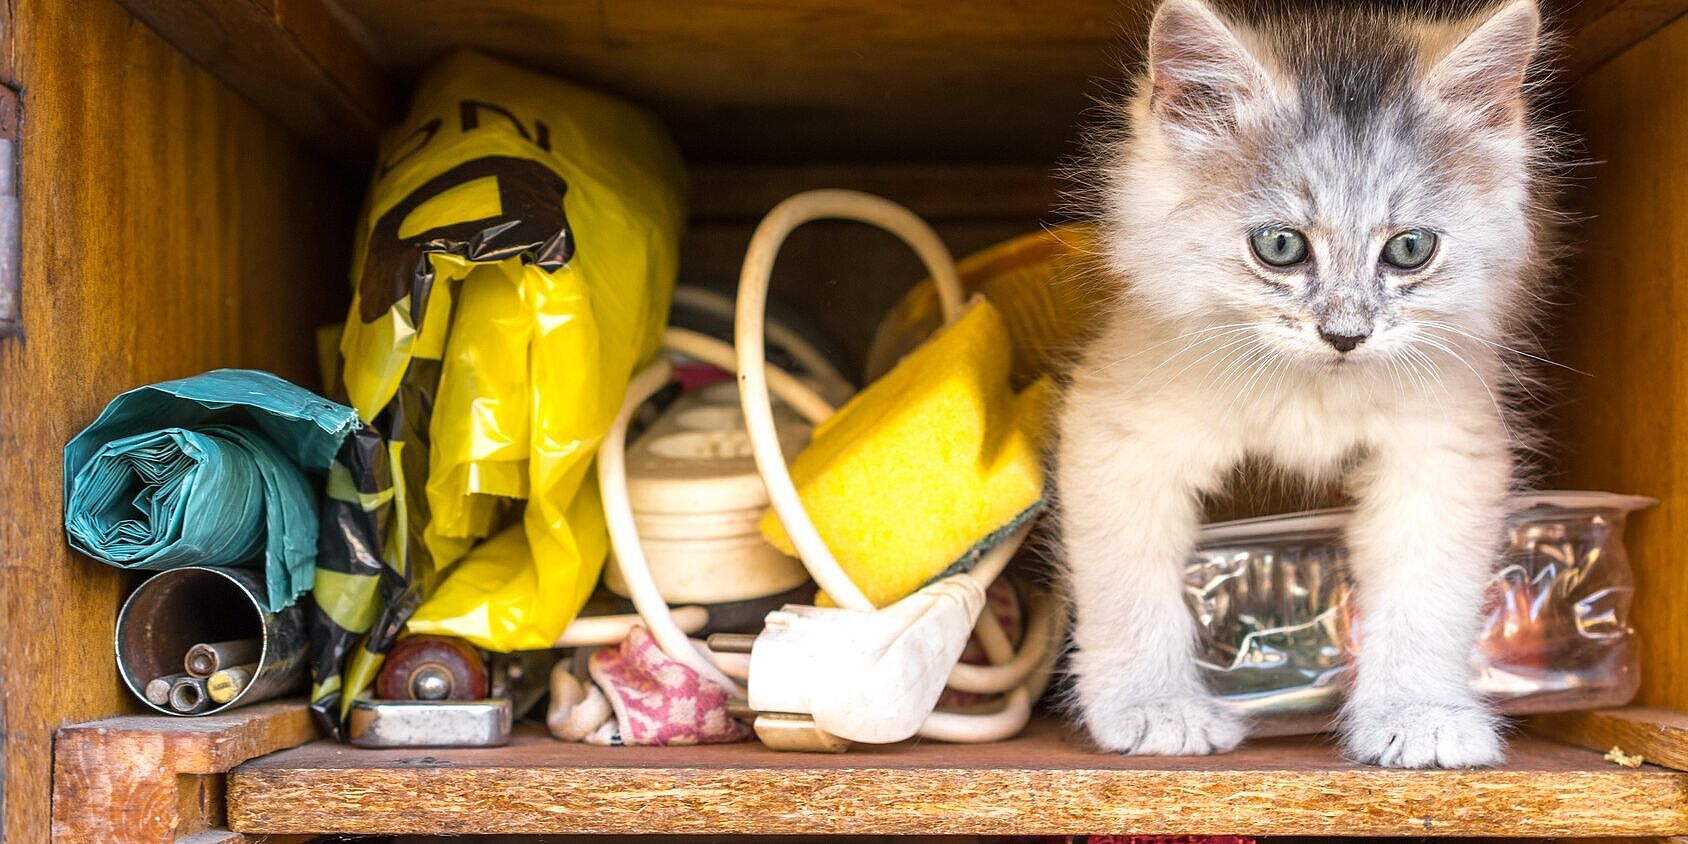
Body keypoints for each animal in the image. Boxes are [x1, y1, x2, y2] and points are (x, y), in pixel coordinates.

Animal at [1060, 0, 1546, 769]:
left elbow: (1427, 600)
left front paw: (1420, 715)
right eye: (1280, 245)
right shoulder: (1117, 436)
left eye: (1410, 248)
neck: (1311, 392)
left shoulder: (1444, 454)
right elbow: (1129, 593)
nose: (1345, 336)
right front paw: (1156, 709)